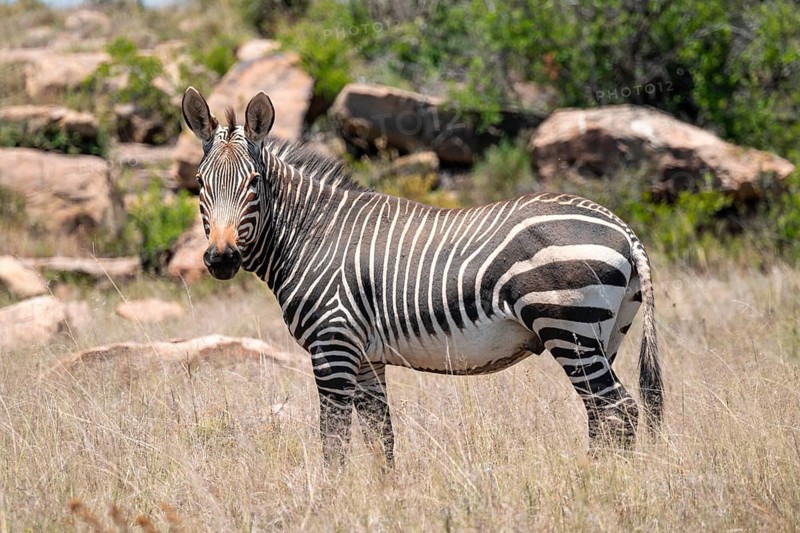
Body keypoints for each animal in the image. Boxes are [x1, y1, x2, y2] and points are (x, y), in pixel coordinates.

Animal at [181, 87, 663, 465]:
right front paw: (382, 501)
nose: (221, 259)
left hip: (568, 326)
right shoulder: (367, 357)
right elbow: (381, 440)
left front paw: (331, 503)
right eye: (201, 184)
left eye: (253, 184)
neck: (309, 233)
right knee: (604, 415)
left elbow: (333, 444)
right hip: (606, 334)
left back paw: (602, 485)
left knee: (616, 411)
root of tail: (621, 226)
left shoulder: (332, 346)